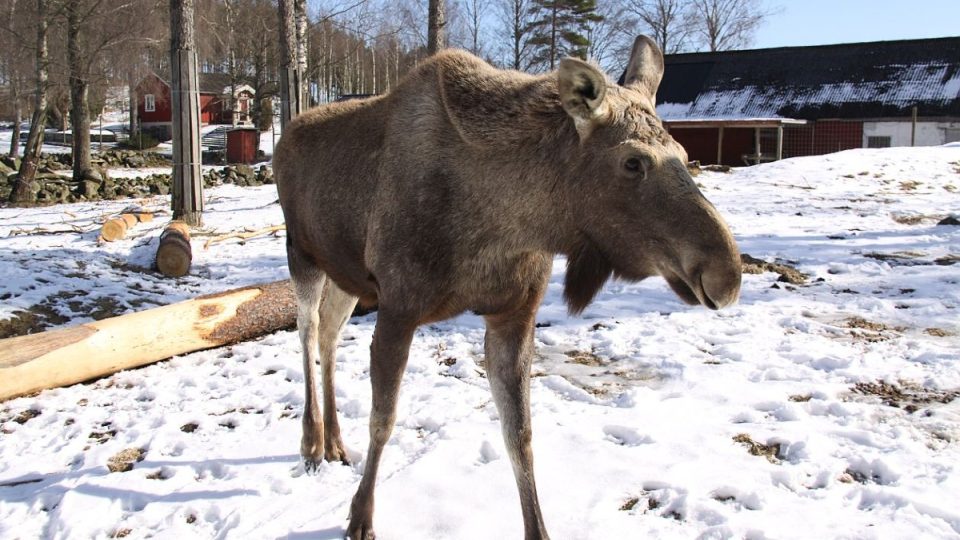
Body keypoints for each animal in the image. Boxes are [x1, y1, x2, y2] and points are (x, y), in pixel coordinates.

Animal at [276, 35, 744, 536]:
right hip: (301, 254)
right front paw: (360, 516)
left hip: (345, 272)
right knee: (307, 330)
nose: (727, 274)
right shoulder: (399, 306)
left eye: (683, 153)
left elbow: (519, 434)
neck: (509, 220)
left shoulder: (514, 313)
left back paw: (334, 441)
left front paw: (538, 528)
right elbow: (383, 419)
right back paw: (311, 442)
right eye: (632, 161)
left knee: (329, 331)